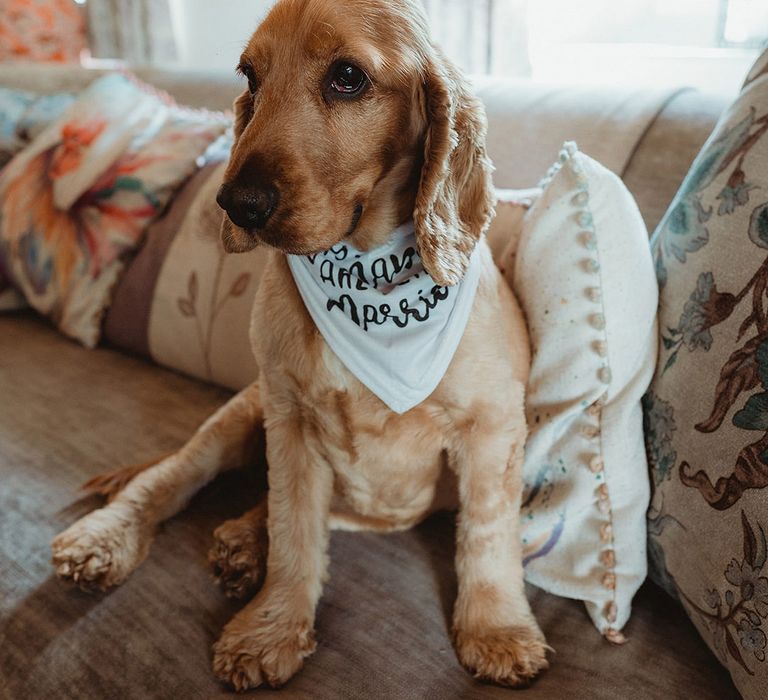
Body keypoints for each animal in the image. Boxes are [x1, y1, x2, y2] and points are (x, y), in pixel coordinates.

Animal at [52, 0, 544, 688]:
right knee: (167, 480)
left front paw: (496, 631)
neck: (370, 279)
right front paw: (270, 629)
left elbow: (488, 535)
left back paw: (239, 542)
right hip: (237, 415)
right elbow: (294, 534)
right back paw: (106, 541)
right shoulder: (289, 419)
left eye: (348, 77)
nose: (236, 203)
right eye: (250, 77)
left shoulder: (491, 430)